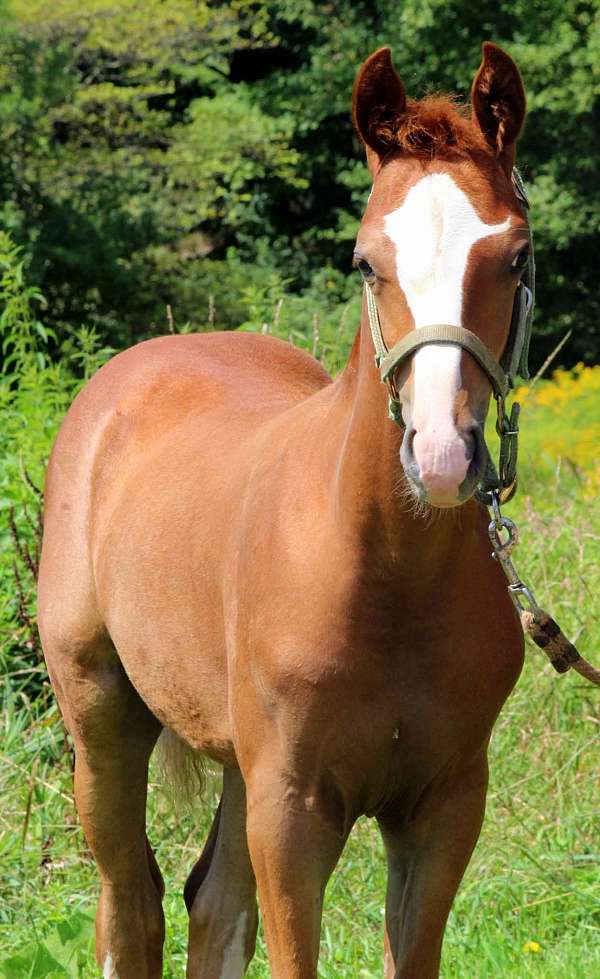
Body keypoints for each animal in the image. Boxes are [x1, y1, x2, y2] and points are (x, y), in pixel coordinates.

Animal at [38, 41, 530, 979]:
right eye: (366, 259)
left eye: (515, 256)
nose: (441, 456)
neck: (385, 578)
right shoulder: (292, 808)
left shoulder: (445, 804)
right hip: (102, 714)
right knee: (130, 905)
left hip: (238, 760)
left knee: (212, 907)